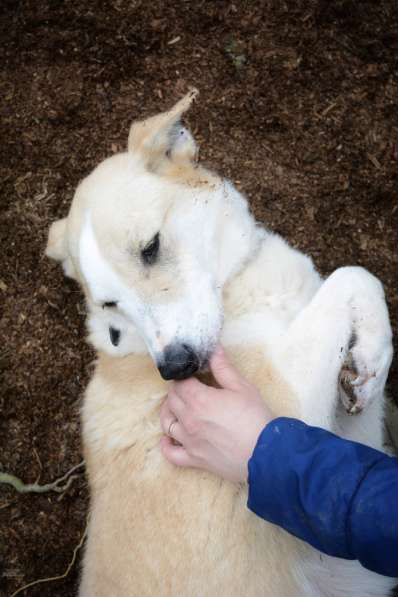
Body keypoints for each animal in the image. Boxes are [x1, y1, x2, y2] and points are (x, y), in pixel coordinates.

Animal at [45, 91, 394, 592]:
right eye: (110, 303)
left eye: (150, 247)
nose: (174, 367)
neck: (235, 287)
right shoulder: (288, 407)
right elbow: (352, 275)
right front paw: (375, 356)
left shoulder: (345, 452)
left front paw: (368, 363)